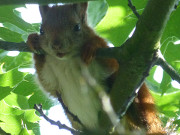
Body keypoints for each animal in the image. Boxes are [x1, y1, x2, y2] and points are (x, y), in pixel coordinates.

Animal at [26, 2, 166, 134]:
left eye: (77, 27)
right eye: (41, 30)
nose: (56, 45)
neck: (67, 60)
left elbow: (113, 65)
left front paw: (92, 46)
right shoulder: (52, 78)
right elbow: (47, 83)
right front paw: (32, 40)